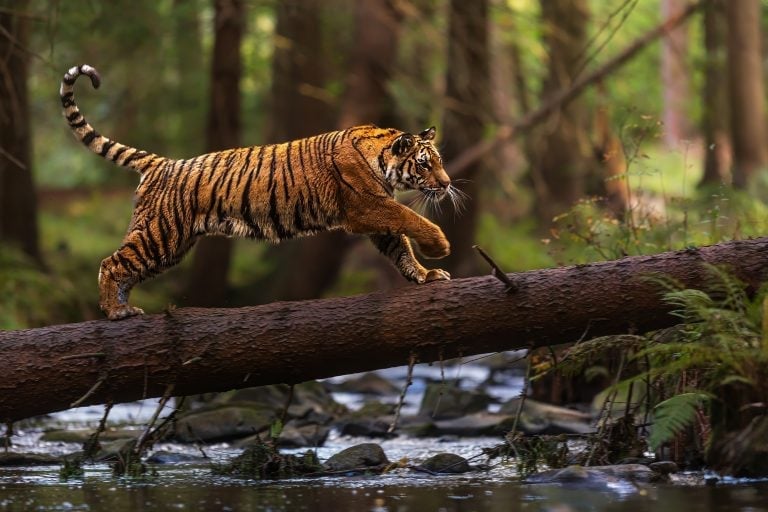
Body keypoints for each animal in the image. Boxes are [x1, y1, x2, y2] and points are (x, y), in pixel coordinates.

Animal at [61, 64, 463, 320]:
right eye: (425, 164)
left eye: (438, 162)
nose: (446, 184)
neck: (382, 159)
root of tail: (163, 163)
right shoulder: (366, 207)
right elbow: (411, 218)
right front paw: (440, 246)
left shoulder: (376, 214)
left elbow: (400, 246)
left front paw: (425, 275)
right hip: (160, 234)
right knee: (112, 262)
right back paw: (115, 311)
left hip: (171, 244)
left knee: (126, 266)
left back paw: (122, 308)